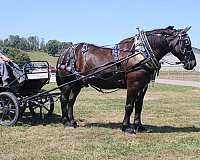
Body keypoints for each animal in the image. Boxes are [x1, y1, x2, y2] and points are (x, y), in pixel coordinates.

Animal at [55, 26, 196, 134]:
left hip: (77, 83)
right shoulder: (133, 84)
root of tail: (66, 52)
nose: (193, 63)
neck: (141, 53)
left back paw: (72, 121)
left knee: (71, 100)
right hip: (68, 83)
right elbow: (129, 106)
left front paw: (139, 127)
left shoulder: (142, 86)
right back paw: (66, 122)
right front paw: (126, 127)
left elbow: (139, 106)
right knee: (64, 99)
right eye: (186, 42)